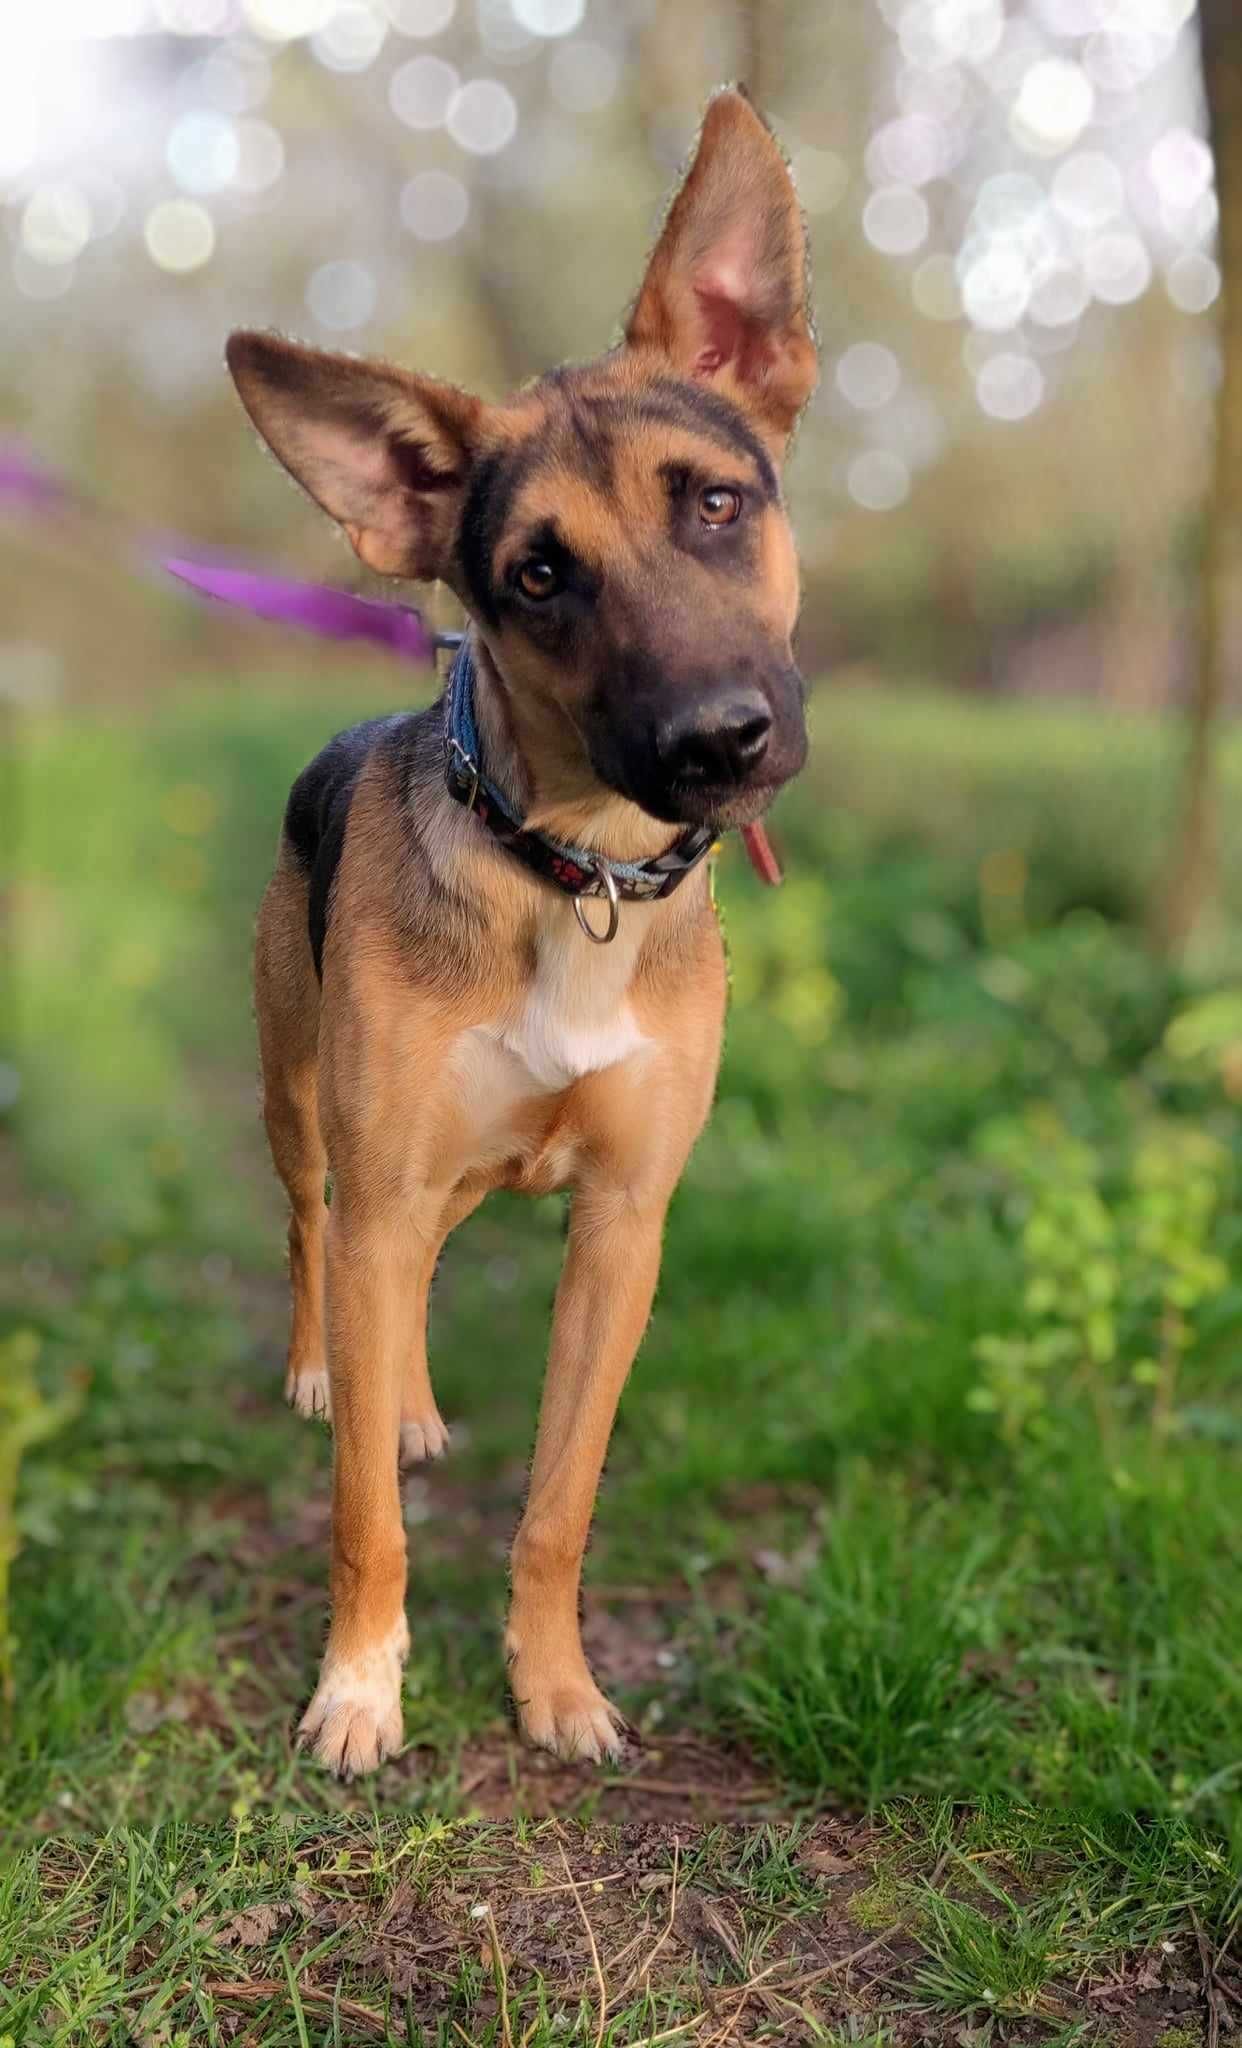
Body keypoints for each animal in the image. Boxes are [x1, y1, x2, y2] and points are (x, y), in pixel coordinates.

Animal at [228, 88, 823, 1777]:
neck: (574, 877)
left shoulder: (622, 1224)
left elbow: (558, 1505)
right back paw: (330, 1372)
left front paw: (553, 1689)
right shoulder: (380, 1175)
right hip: (303, 1106)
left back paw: (410, 1396)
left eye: (715, 501)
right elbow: (364, 1517)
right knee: (314, 1238)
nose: (720, 739)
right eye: (536, 575)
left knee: (418, 1269)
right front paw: (360, 1689)